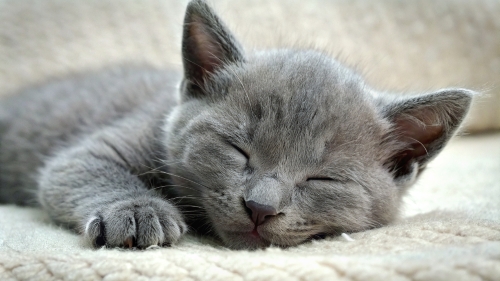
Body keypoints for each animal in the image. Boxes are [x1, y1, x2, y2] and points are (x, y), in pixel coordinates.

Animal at [0, 0, 472, 249]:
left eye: (322, 179)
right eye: (237, 150)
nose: (260, 206)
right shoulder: (120, 138)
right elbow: (78, 167)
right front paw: (136, 211)